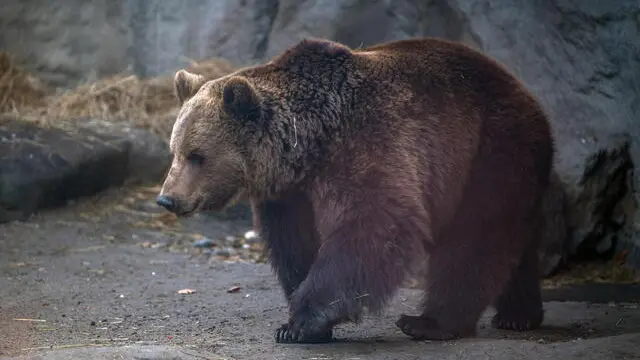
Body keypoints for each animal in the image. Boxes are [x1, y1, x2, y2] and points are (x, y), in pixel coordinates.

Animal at [156, 35, 556, 344]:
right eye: (175, 150)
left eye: (197, 155)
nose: (167, 198)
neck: (307, 145)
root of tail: (525, 91)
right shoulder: (289, 194)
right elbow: (295, 244)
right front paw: (300, 320)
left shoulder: (367, 143)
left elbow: (374, 223)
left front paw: (304, 321)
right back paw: (518, 314)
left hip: (490, 148)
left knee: (477, 235)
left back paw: (430, 322)